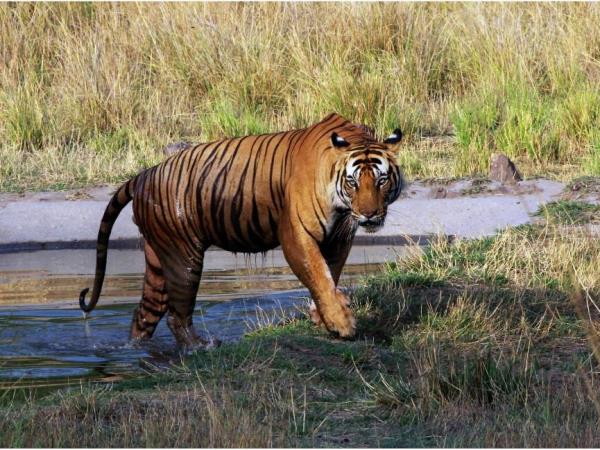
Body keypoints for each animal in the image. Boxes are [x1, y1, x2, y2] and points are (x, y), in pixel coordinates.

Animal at [79, 113, 406, 348]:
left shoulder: (339, 238)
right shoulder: (297, 235)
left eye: (381, 180)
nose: (369, 214)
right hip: (183, 256)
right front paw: (342, 323)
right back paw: (201, 346)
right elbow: (318, 275)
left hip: (158, 260)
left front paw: (321, 315)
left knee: (144, 314)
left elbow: (330, 274)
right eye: (353, 182)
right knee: (176, 315)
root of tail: (144, 173)